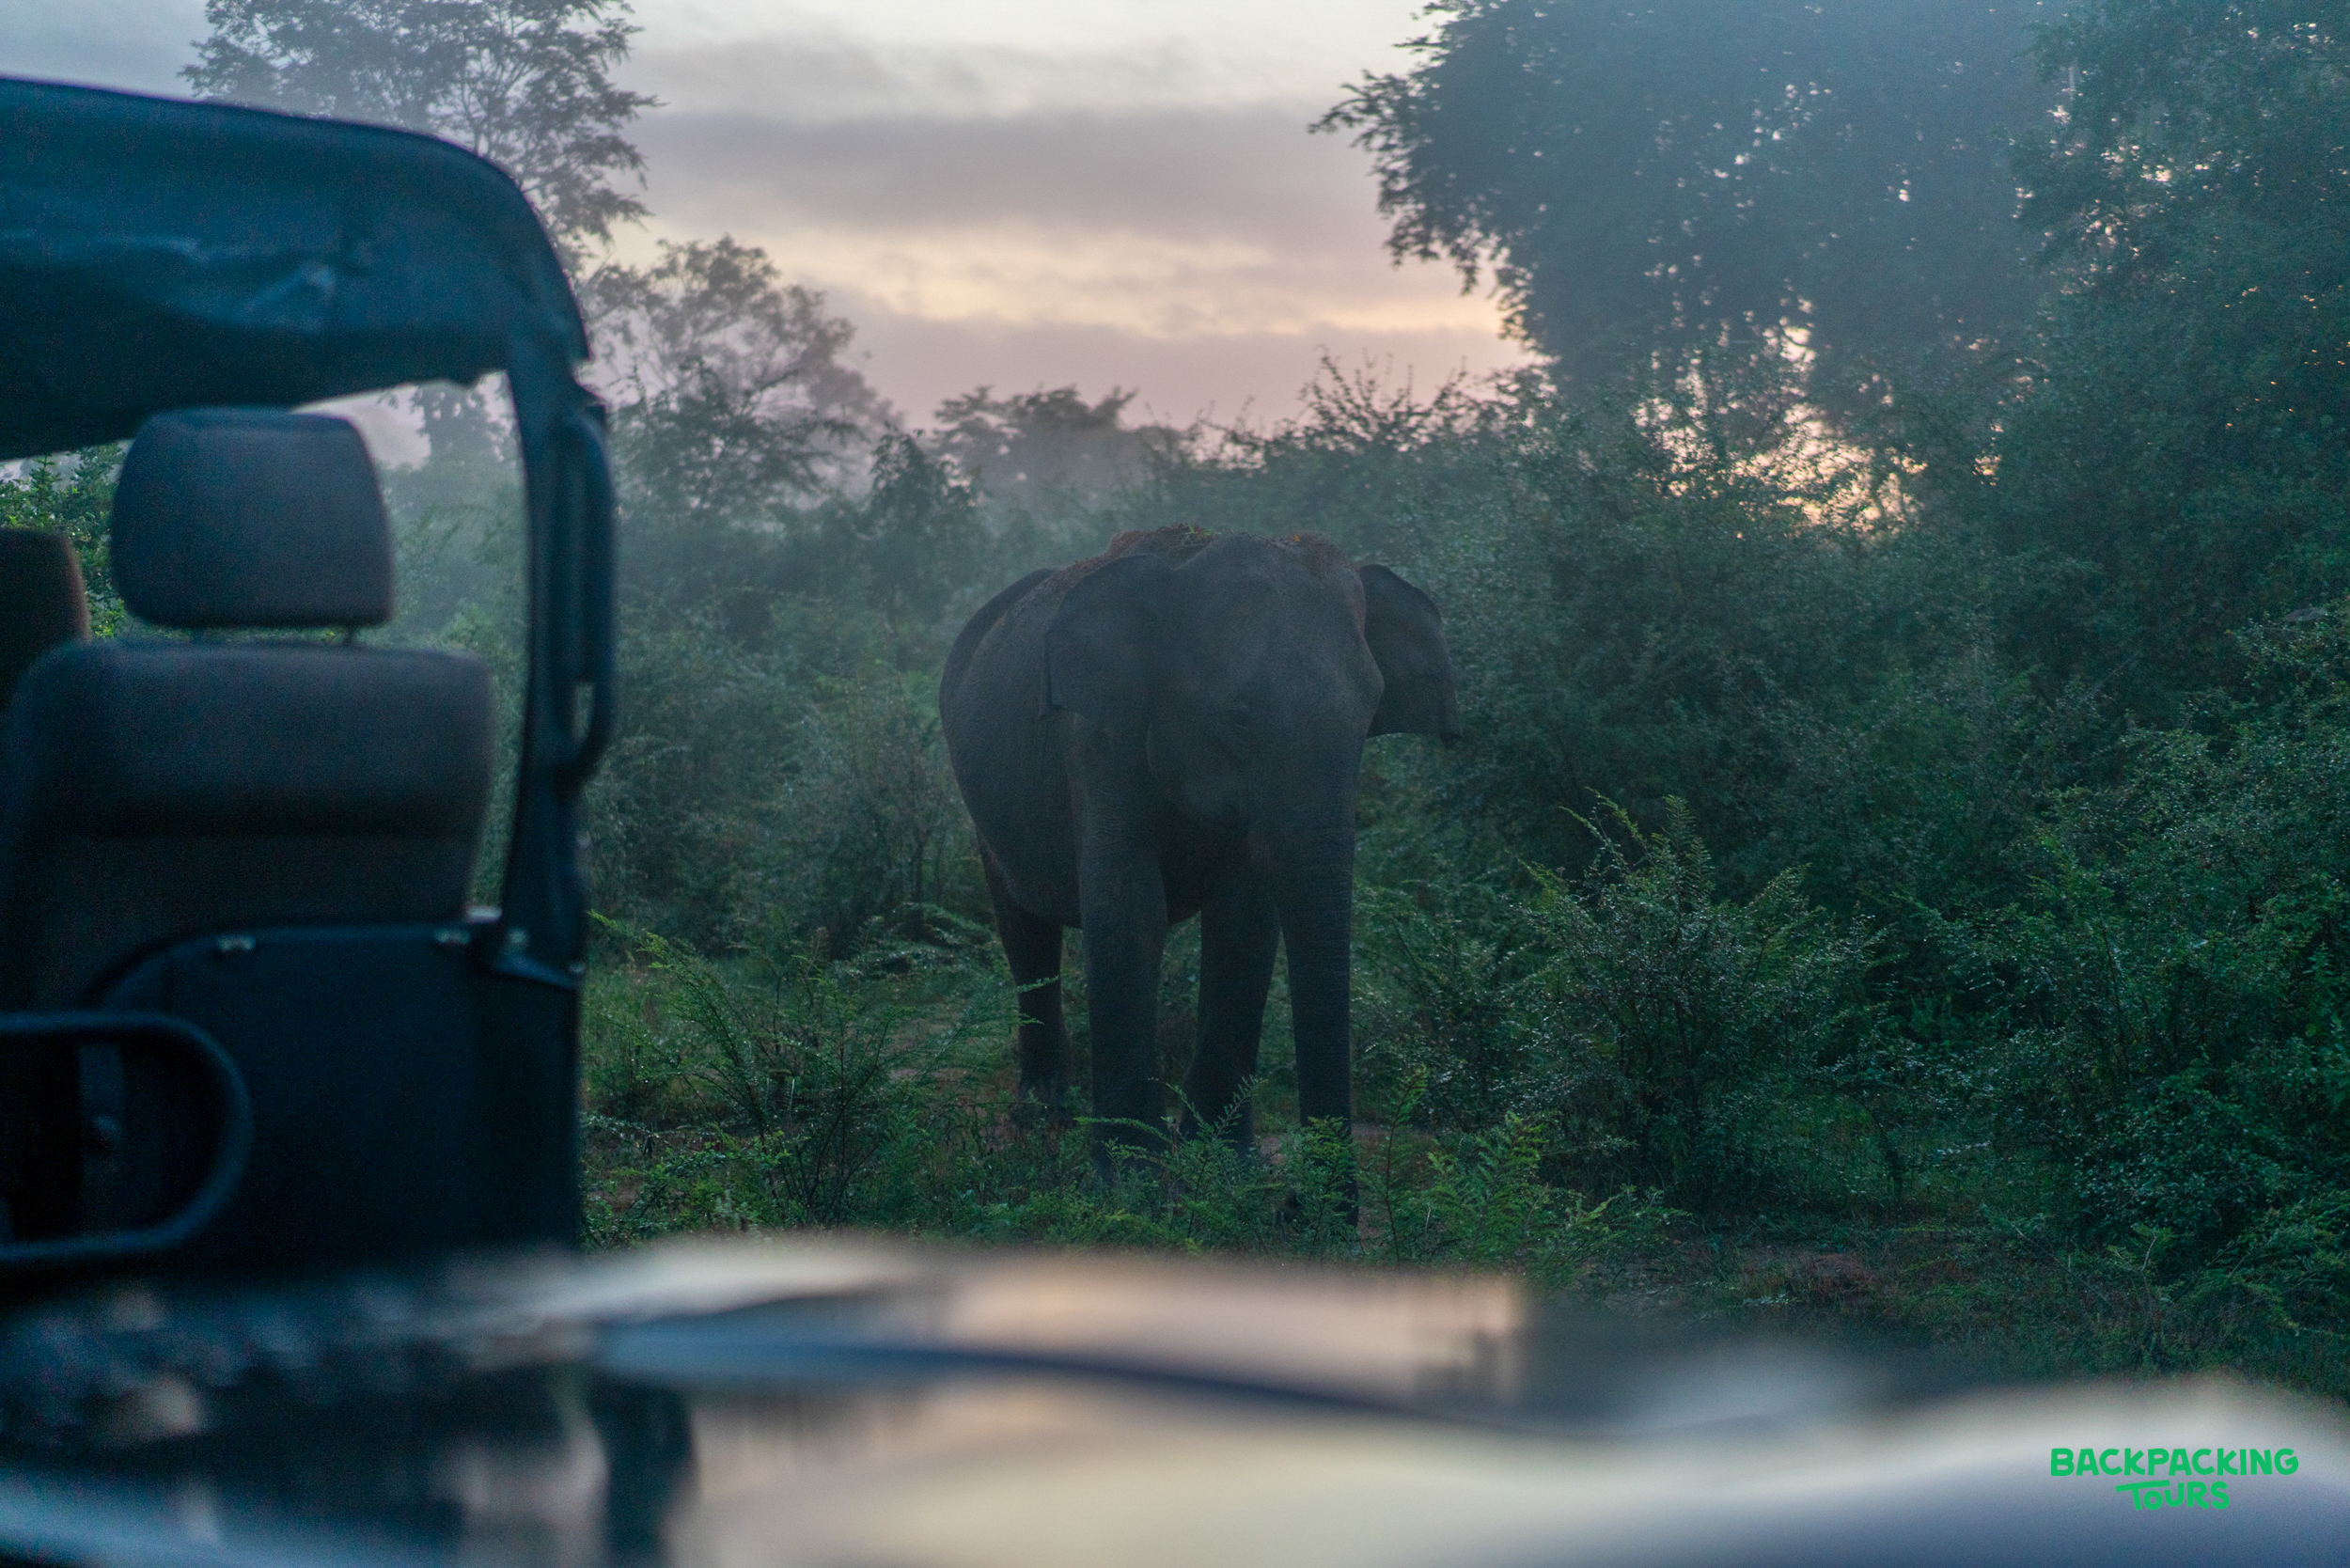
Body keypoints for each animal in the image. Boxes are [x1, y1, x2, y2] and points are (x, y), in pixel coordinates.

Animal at [939, 525, 1462, 1153]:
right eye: (1238, 717)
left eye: (1368, 720)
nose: (1307, 1190)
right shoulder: (1097, 738)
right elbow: (1129, 906)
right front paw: (1132, 1170)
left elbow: (1244, 916)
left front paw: (1221, 1159)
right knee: (1023, 927)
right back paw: (1042, 1118)